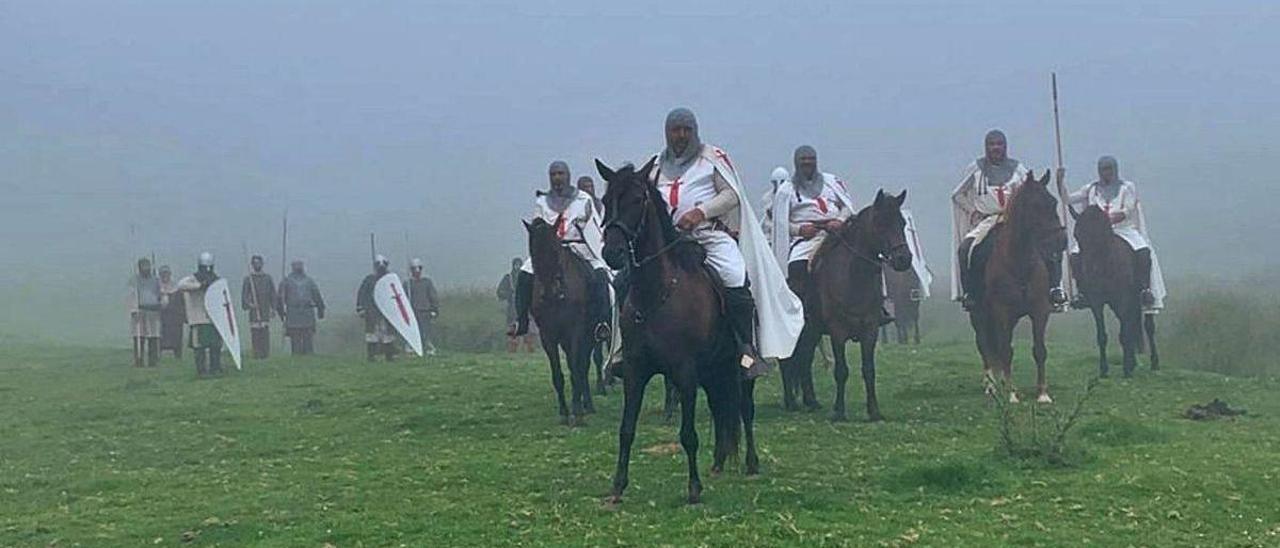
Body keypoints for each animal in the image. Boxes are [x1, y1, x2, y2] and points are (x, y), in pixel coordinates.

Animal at [522, 217, 596, 425]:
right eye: (534, 252)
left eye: (555, 250)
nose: (550, 291)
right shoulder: (548, 336)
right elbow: (557, 374)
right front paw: (564, 411)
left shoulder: (576, 331)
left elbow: (576, 368)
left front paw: (577, 411)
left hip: (589, 335)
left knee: (583, 366)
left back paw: (587, 405)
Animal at [593, 154, 752, 504]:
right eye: (606, 201)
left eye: (638, 199)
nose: (612, 253)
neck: (658, 293)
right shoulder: (636, 372)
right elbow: (626, 430)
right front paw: (617, 486)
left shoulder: (684, 372)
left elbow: (688, 434)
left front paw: (693, 489)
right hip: (712, 370)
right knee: (721, 409)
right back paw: (719, 463)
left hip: (737, 370)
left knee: (745, 408)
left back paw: (752, 462)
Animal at [778, 190, 911, 422]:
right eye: (880, 222)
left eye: (902, 222)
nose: (904, 259)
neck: (854, 276)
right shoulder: (837, 331)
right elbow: (841, 370)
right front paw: (839, 411)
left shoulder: (870, 329)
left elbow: (868, 370)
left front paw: (874, 411)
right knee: (788, 362)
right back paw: (791, 403)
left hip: (812, 331)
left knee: (804, 360)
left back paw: (811, 401)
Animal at [972, 171, 1064, 402]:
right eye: (1035, 205)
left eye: (1053, 202)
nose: (1061, 241)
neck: (1019, 261)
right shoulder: (1002, 311)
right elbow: (1005, 350)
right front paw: (1012, 395)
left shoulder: (1040, 310)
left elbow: (1039, 350)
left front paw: (1042, 394)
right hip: (979, 315)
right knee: (985, 345)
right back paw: (992, 385)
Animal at [1070, 204, 1162, 376]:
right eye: (1077, 234)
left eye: (1102, 233)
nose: (1090, 270)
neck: (1105, 264)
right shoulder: (1096, 302)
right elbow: (1102, 335)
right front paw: (1104, 370)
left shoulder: (1123, 299)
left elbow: (1125, 333)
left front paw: (1126, 369)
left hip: (1141, 300)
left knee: (1148, 327)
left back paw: (1154, 363)